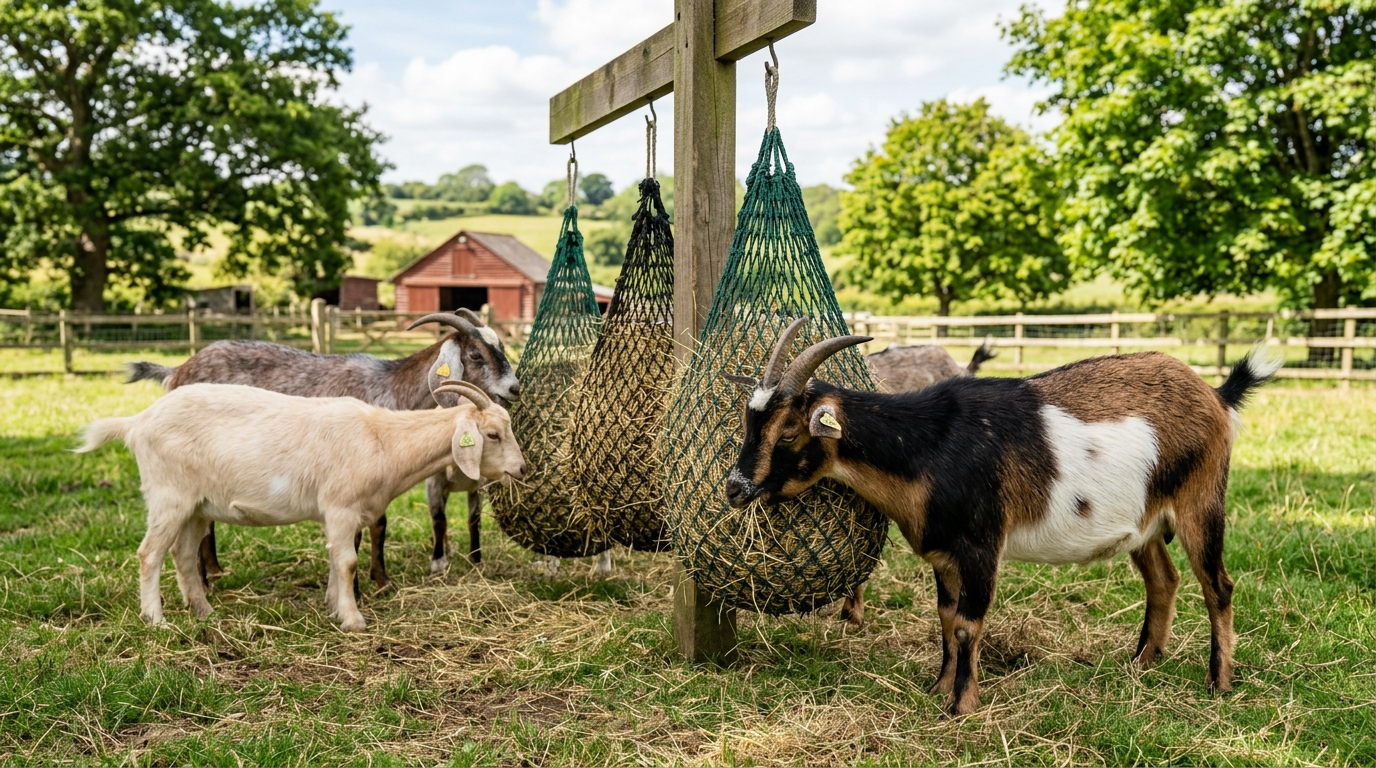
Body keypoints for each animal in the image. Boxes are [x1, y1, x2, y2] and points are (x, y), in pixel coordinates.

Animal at [76, 380, 526, 631]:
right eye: (491, 434)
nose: (521, 469)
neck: (382, 439)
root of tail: (137, 422)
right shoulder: (341, 506)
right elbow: (347, 562)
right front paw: (354, 621)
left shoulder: (336, 513)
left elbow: (335, 560)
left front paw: (333, 606)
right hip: (169, 495)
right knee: (149, 554)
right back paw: (157, 620)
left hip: (197, 507)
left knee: (184, 555)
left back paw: (203, 612)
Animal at [127, 309, 517, 588]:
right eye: (475, 354)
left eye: (500, 348)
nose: (514, 388)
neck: (389, 389)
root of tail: (178, 370)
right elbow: (356, 533)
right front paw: (357, 587)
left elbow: (380, 525)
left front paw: (382, 580)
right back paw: (204, 581)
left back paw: (214, 571)